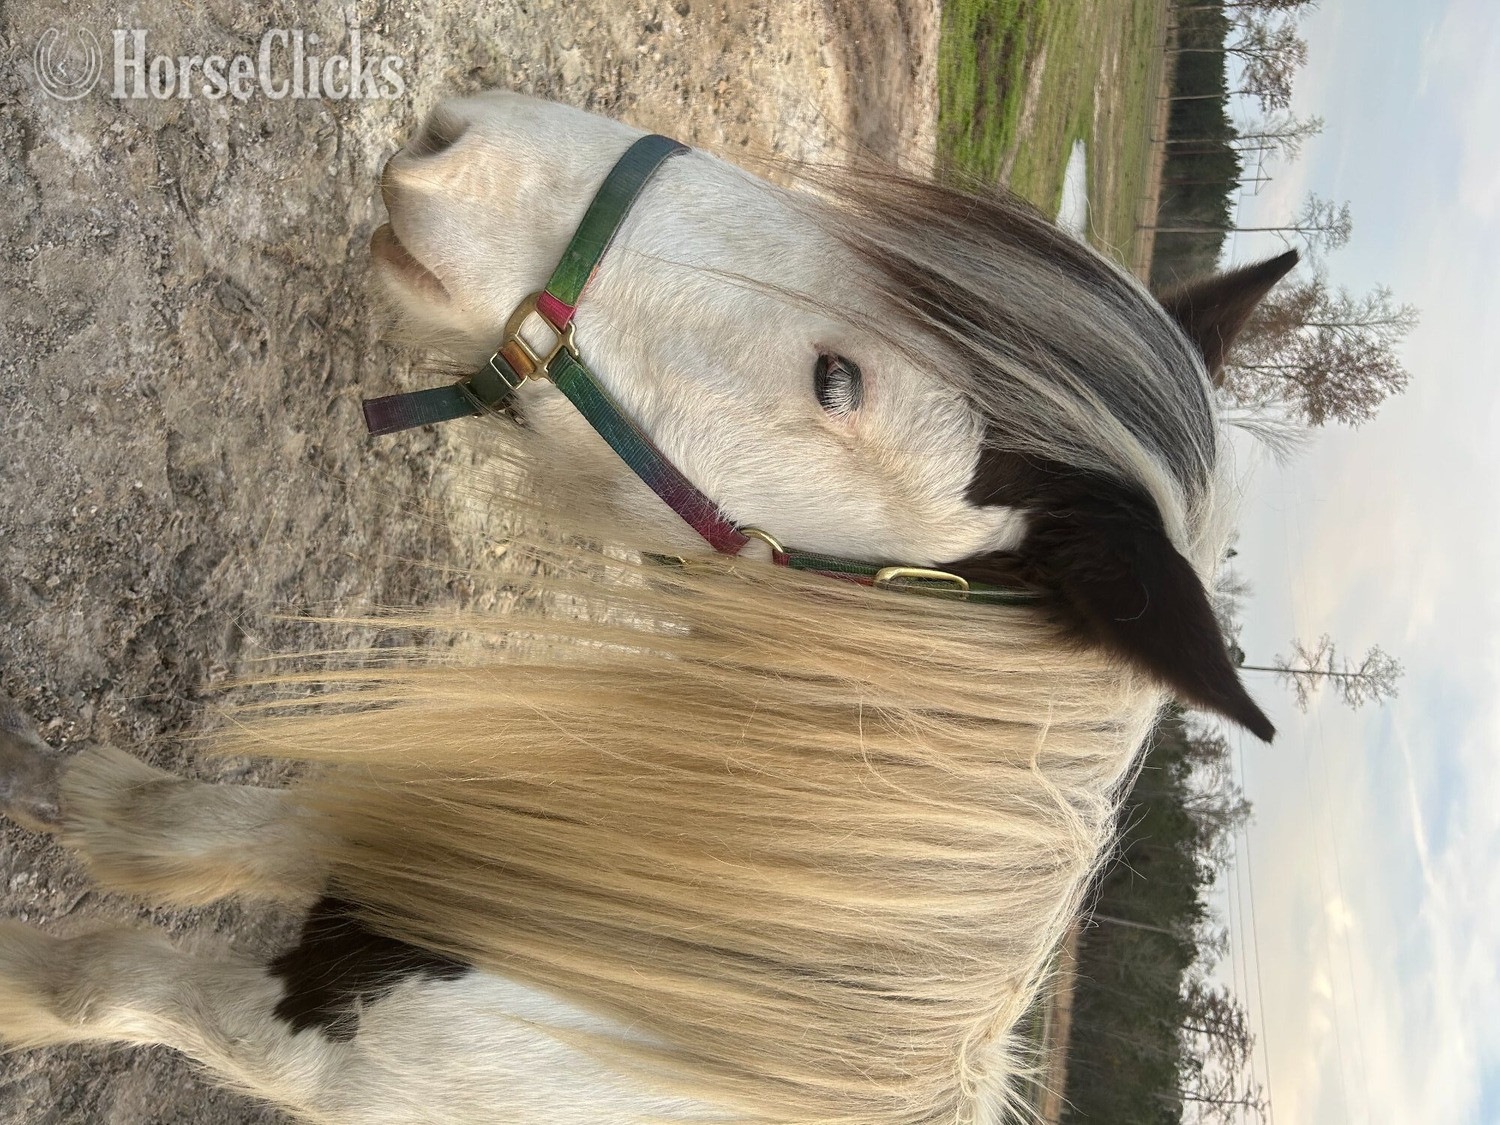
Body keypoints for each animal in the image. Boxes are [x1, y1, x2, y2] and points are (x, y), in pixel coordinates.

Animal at [0, 92, 1293, 1124]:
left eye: (838, 381)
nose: (460, 147)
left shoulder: (312, 1050)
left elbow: (101, 984)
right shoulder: (408, 843)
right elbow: (163, 825)